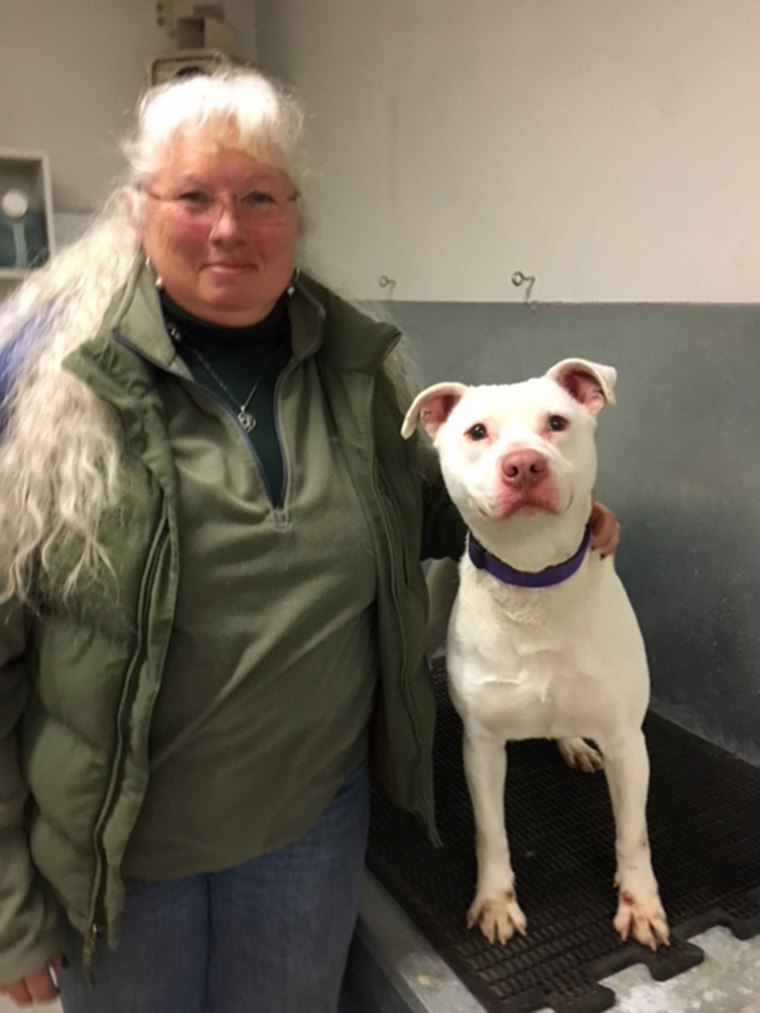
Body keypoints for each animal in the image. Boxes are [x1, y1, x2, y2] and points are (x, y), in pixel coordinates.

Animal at [401, 360, 668, 952]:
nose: (523, 464)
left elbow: (634, 833)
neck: (533, 580)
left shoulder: (626, 742)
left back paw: (572, 744)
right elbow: (491, 832)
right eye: (477, 432)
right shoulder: (482, 746)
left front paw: (640, 902)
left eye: (557, 422)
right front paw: (496, 903)